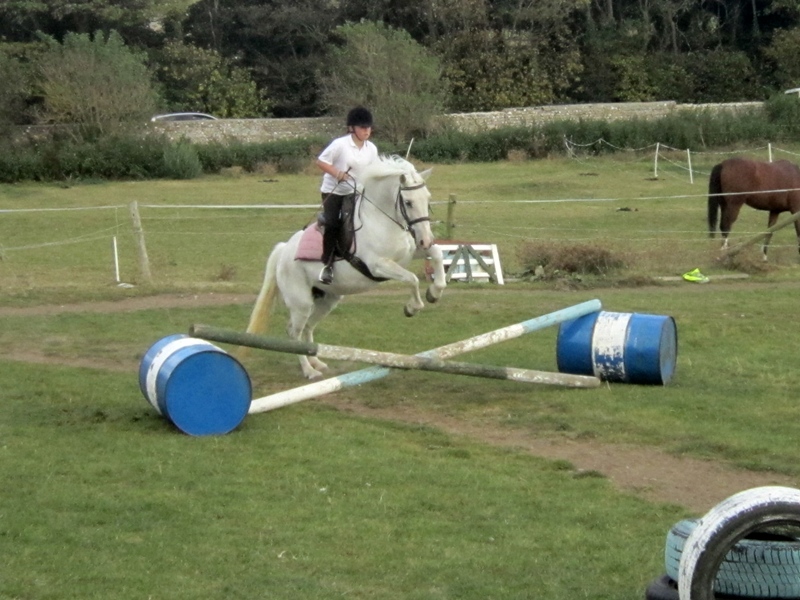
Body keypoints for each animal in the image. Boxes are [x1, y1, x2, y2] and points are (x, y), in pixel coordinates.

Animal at [245, 155, 447, 379]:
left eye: (428, 199)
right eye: (409, 202)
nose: (426, 239)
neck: (382, 219)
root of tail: (283, 251)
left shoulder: (410, 254)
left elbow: (437, 255)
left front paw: (434, 293)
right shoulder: (378, 265)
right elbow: (412, 278)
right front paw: (412, 308)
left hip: (327, 300)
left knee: (307, 327)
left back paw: (317, 363)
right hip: (301, 303)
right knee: (293, 332)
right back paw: (309, 371)